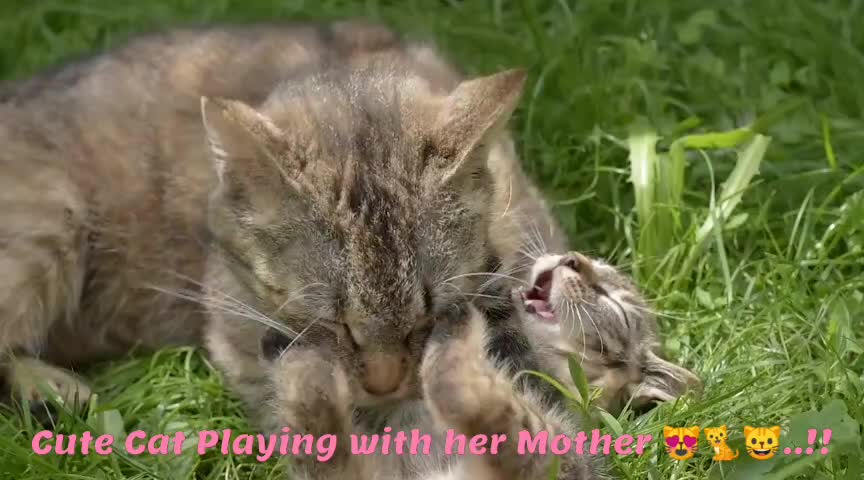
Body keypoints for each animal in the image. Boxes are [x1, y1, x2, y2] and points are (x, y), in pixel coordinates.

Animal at [264, 251, 704, 480]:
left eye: (615, 305)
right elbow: (315, 427)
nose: (572, 258)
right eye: (597, 263)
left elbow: (462, 392)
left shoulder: (552, 453)